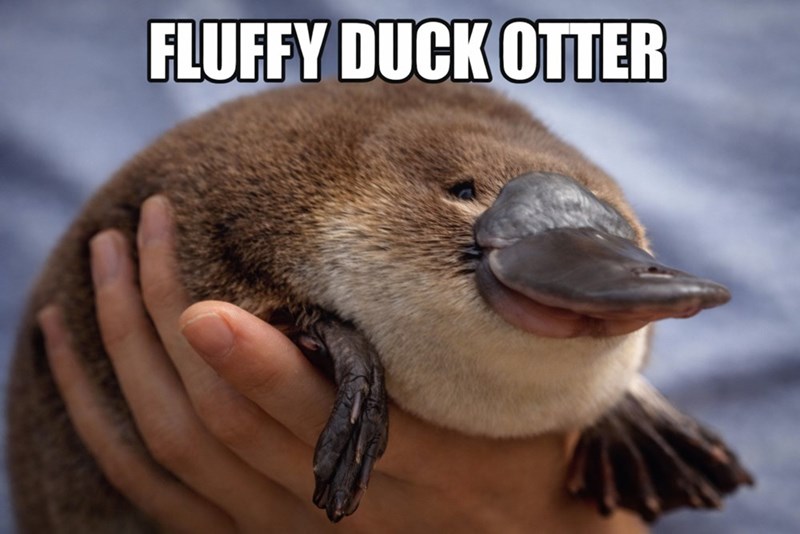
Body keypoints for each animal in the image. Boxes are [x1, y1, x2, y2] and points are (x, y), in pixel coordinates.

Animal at [7, 81, 752, 531]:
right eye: (463, 190)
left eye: (625, 224)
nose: (679, 288)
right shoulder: (212, 229)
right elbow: (278, 305)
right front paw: (357, 411)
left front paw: (654, 432)